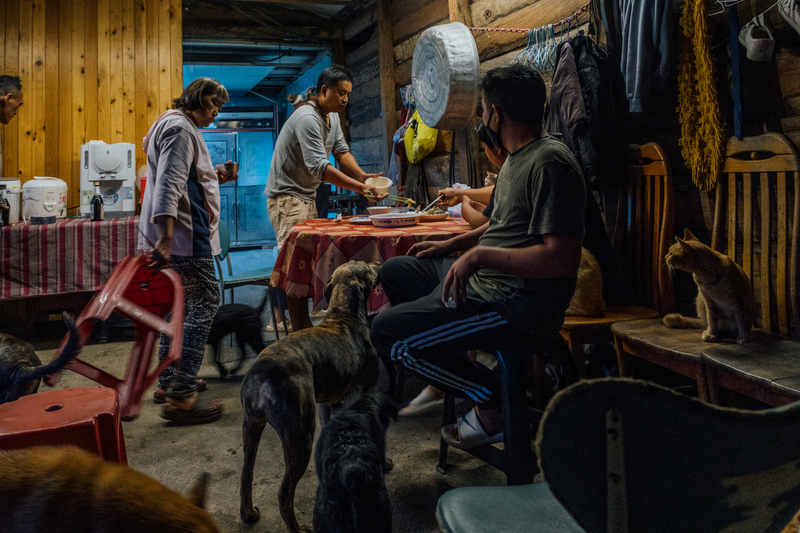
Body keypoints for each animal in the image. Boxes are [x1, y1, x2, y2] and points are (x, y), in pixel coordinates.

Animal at [238, 262, 382, 532]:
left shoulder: (326, 404)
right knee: (284, 495)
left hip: (252, 428)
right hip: (299, 435)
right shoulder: (366, 394)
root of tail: (260, 373)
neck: (343, 314)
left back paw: (248, 513)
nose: (379, 263)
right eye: (366, 266)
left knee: (246, 474)